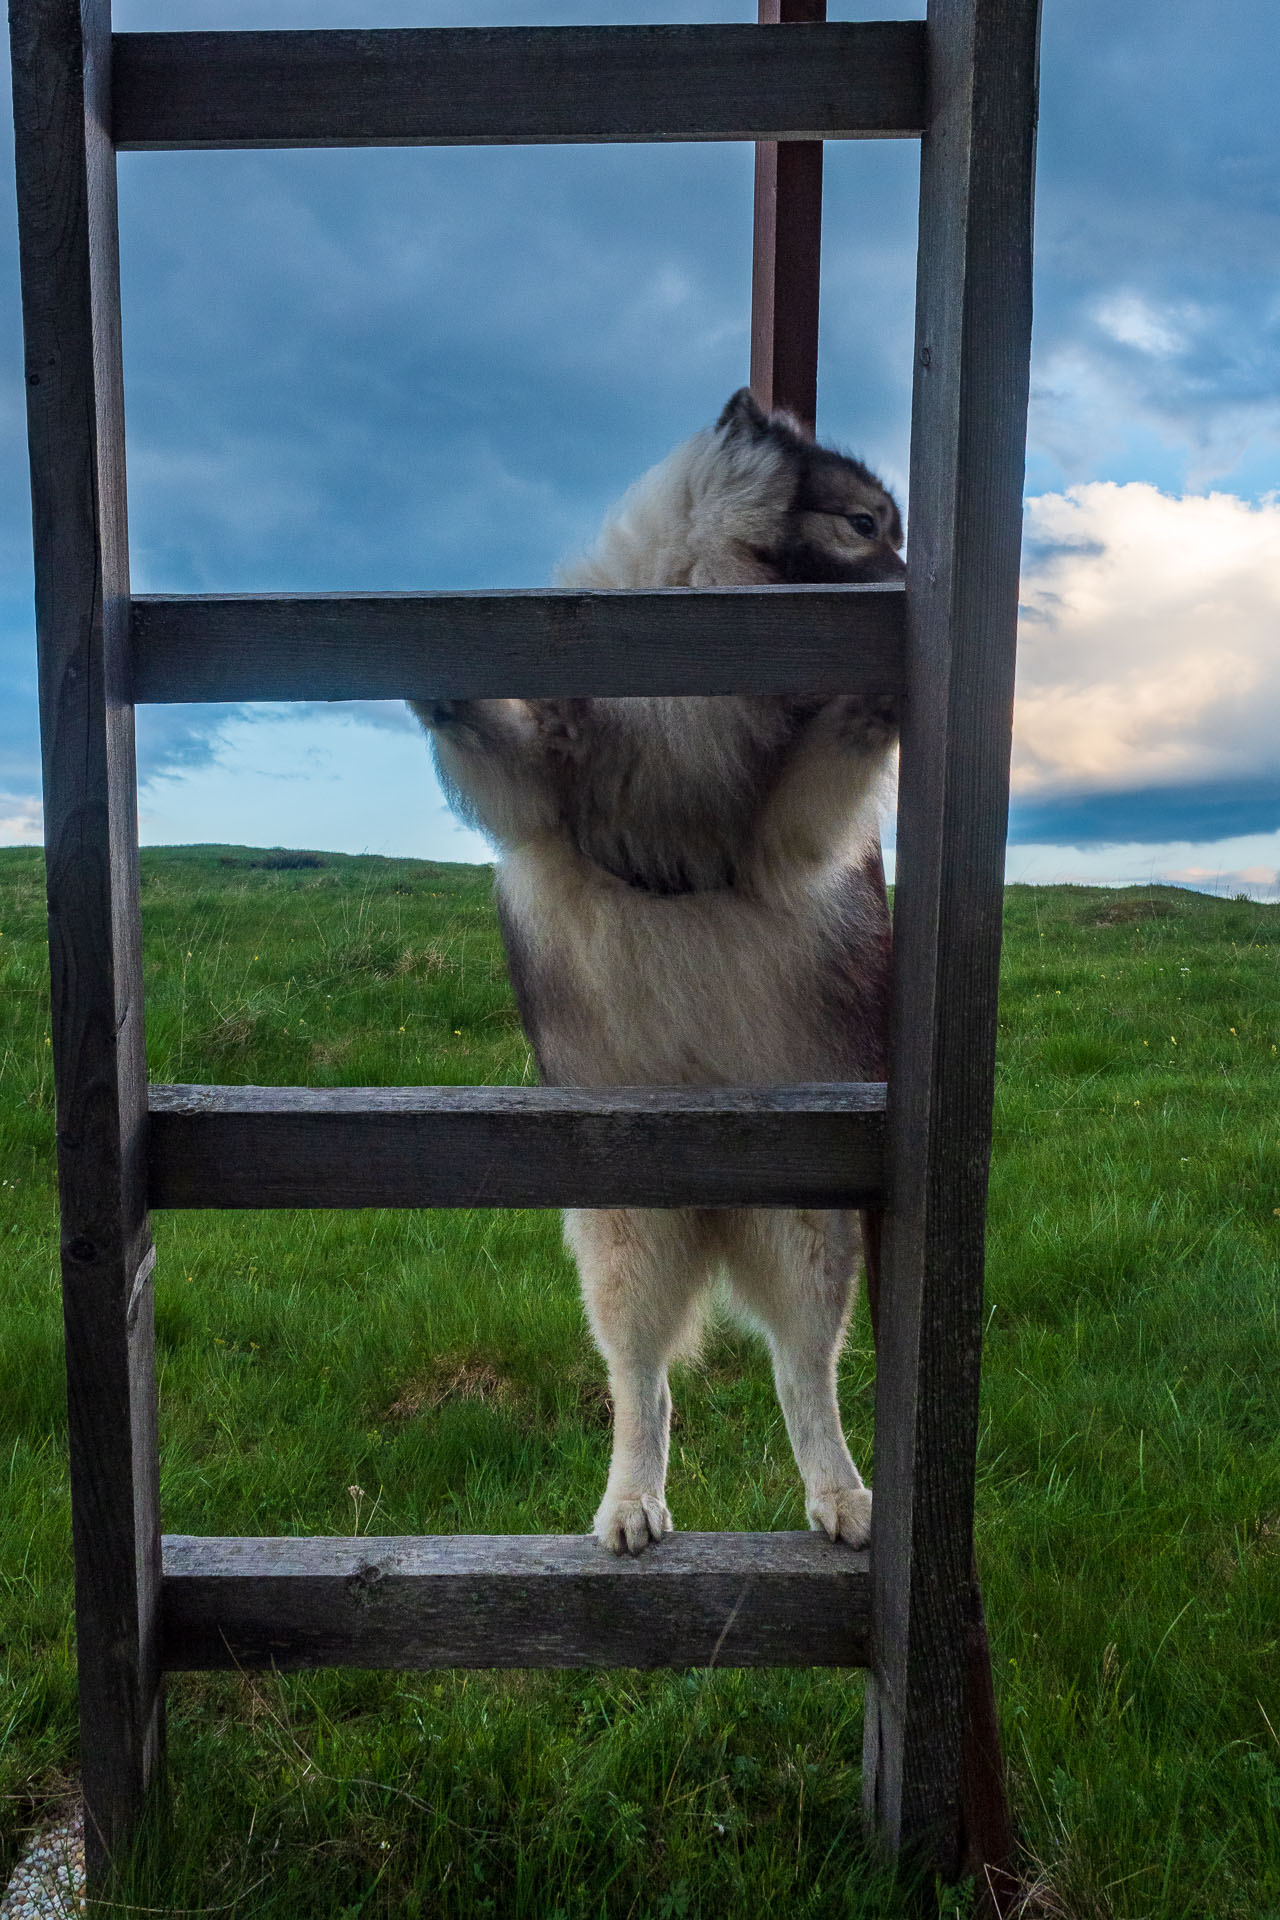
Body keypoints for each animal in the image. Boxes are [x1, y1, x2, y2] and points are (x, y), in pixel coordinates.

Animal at [418, 393, 901, 1559]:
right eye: (865, 524)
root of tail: (714, 1199)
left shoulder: (779, 833)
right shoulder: (547, 786)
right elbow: (502, 749)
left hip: (807, 1231)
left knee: (802, 1375)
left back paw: (839, 1494)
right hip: (625, 1237)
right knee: (642, 1385)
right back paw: (631, 1499)